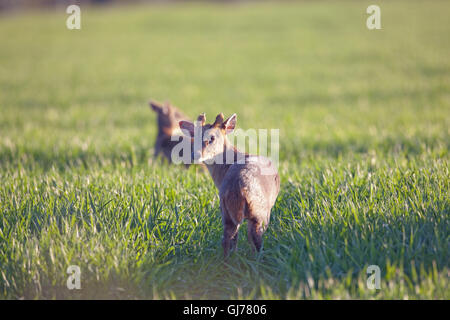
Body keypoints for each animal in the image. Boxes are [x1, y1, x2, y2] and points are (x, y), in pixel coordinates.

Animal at [178, 113, 278, 258]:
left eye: (212, 138)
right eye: (194, 137)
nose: (194, 155)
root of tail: (239, 189)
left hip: (225, 210)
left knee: (227, 238)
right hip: (260, 211)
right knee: (253, 237)